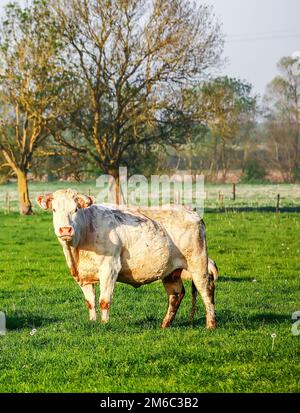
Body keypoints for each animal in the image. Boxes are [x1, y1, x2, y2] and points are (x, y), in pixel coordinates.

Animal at [37, 189, 216, 328]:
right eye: (54, 210)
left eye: (75, 209)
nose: (65, 229)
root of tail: (191, 212)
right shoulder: (84, 276)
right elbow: (90, 302)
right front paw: (93, 322)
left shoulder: (109, 268)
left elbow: (104, 300)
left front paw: (104, 325)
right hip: (171, 271)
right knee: (176, 295)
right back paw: (165, 325)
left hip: (198, 263)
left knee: (206, 289)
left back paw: (210, 325)